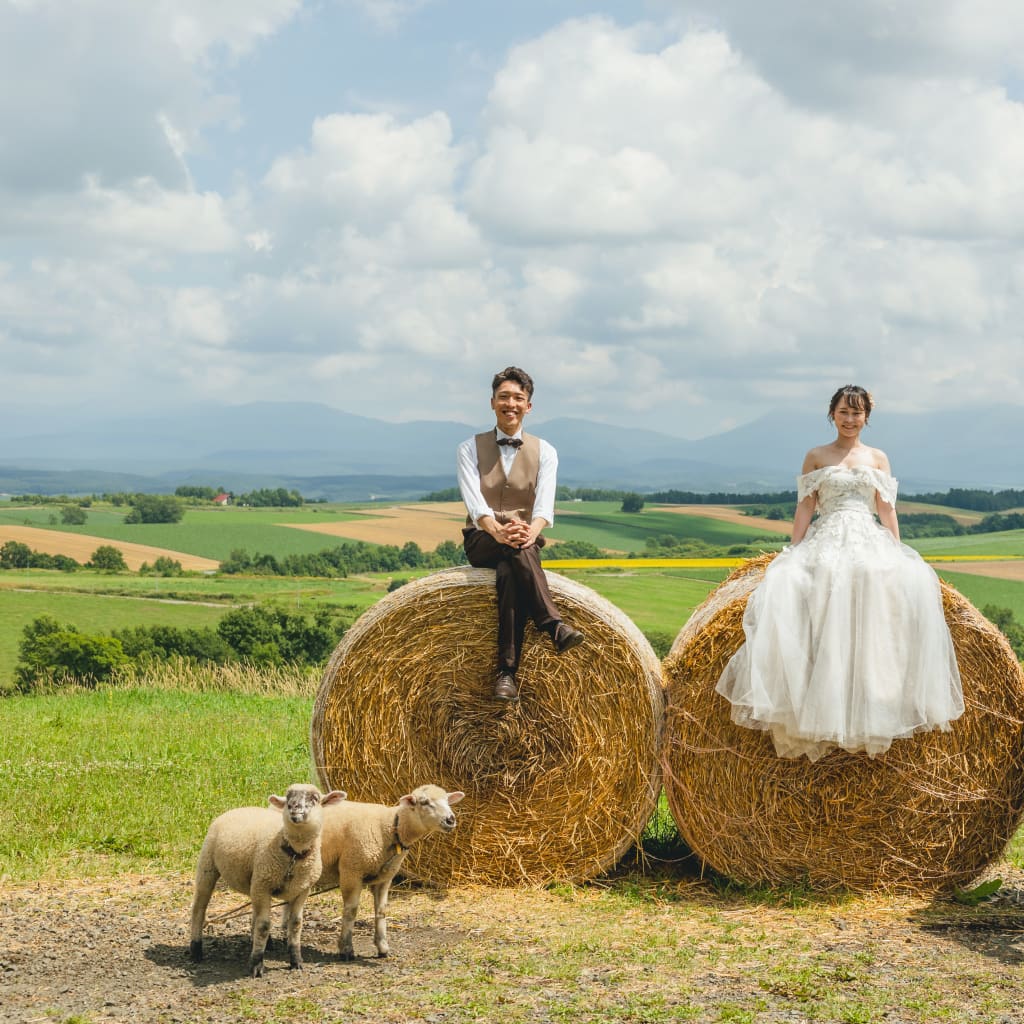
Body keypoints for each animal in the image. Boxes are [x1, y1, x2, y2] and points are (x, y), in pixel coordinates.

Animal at [185, 782, 344, 974]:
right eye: (288, 797)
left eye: (315, 798)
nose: (293, 808)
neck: (293, 854)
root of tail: (240, 808)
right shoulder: (263, 885)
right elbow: (264, 926)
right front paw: (256, 965)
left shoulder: (302, 889)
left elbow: (295, 924)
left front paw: (296, 961)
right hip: (208, 866)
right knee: (199, 909)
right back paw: (196, 950)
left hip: (254, 880)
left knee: (255, 913)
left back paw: (266, 943)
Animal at [317, 782, 466, 958]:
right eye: (424, 802)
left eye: (448, 801)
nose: (450, 819)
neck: (390, 827)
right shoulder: (351, 871)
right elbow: (350, 911)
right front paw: (346, 948)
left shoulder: (385, 877)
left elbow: (381, 911)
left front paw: (382, 947)